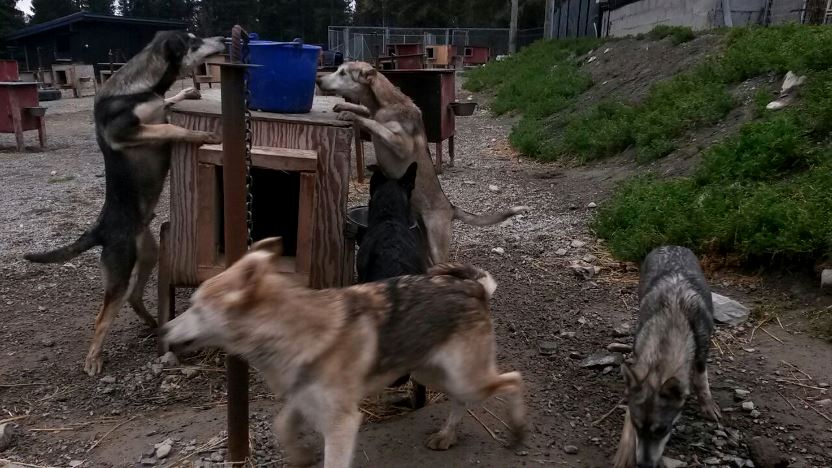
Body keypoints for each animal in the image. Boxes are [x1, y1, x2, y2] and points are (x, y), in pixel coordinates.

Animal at [24, 31, 225, 376]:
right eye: (194, 42)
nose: (225, 38)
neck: (138, 88)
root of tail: (99, 229)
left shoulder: (155, 111)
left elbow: (168, 105)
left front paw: (187, 91)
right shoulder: (126, 131)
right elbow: (171, 126)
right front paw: (200, 134)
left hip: (148, 255)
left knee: (134, 296)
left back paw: (152, 323)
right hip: (120, 269)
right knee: (102, 317)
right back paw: (94, 359)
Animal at [161, 237, 525, 468]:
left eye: (196, 307)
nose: (162, 331)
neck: (292, 331)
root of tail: (474, 287)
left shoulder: (343, 423)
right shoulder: (304, 399)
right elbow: (282, 426)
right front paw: (300, 457)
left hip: (464, 379)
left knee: (515, 379)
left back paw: (517, 430)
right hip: (431, 372)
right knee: (463, 400)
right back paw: (447, 436)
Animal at [317, 62, 527, 264]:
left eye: (343, 73)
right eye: (338, 69)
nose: (318, 80)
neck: (385, 104)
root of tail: (450, 207)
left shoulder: (401, 143)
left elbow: (375, 124)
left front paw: (351, 115)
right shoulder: (374, 114)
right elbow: (366, 112)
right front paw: (344, 108)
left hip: (436, 244)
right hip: (423, 238)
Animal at [613, 246, 721, 468]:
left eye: (662, 430)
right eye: (637, 426)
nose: (644, 465)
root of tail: (670, 245)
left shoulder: (701, 356)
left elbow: (702, 382)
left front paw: (707, 405)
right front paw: (625, 452)